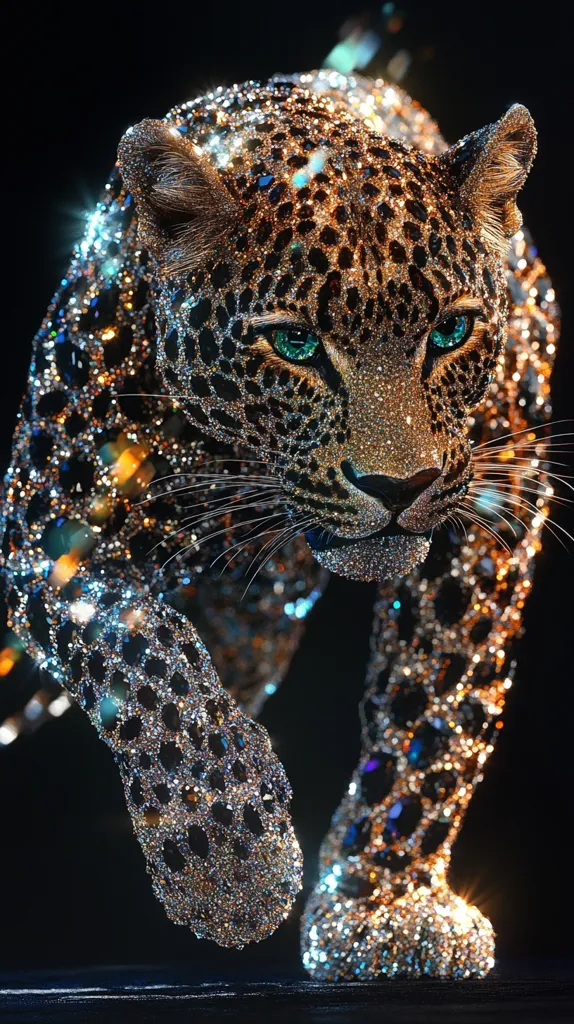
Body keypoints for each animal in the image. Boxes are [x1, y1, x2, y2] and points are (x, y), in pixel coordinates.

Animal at [0, 70, 559, 979]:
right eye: (295, 345)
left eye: (451, 331)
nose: (399, 485)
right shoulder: (46, 532)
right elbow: (145, 656)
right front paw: (232, 863)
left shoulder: (496, 509)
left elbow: (438, 706)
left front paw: (381, 910)